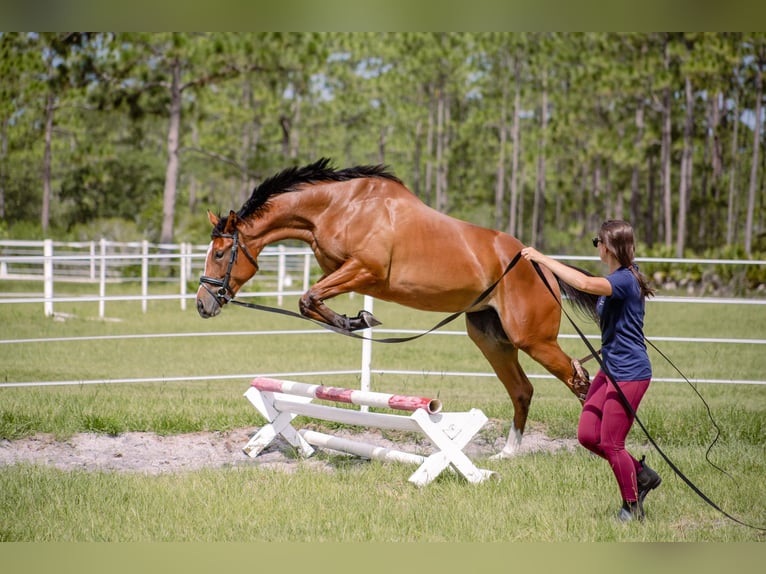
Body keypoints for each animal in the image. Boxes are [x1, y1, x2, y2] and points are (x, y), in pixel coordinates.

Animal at [198, 158, 600, 460]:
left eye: (220, 253)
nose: (203, 304)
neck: (338, 207)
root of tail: (540, 264)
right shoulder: (341, 272)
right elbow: (312, 298)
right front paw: (355, 319)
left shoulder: (364, 270)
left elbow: (308, 298)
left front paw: (357, 320)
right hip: (491, 338)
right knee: (522, 390)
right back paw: (508, 453)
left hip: (533, 339)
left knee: (577, 379)